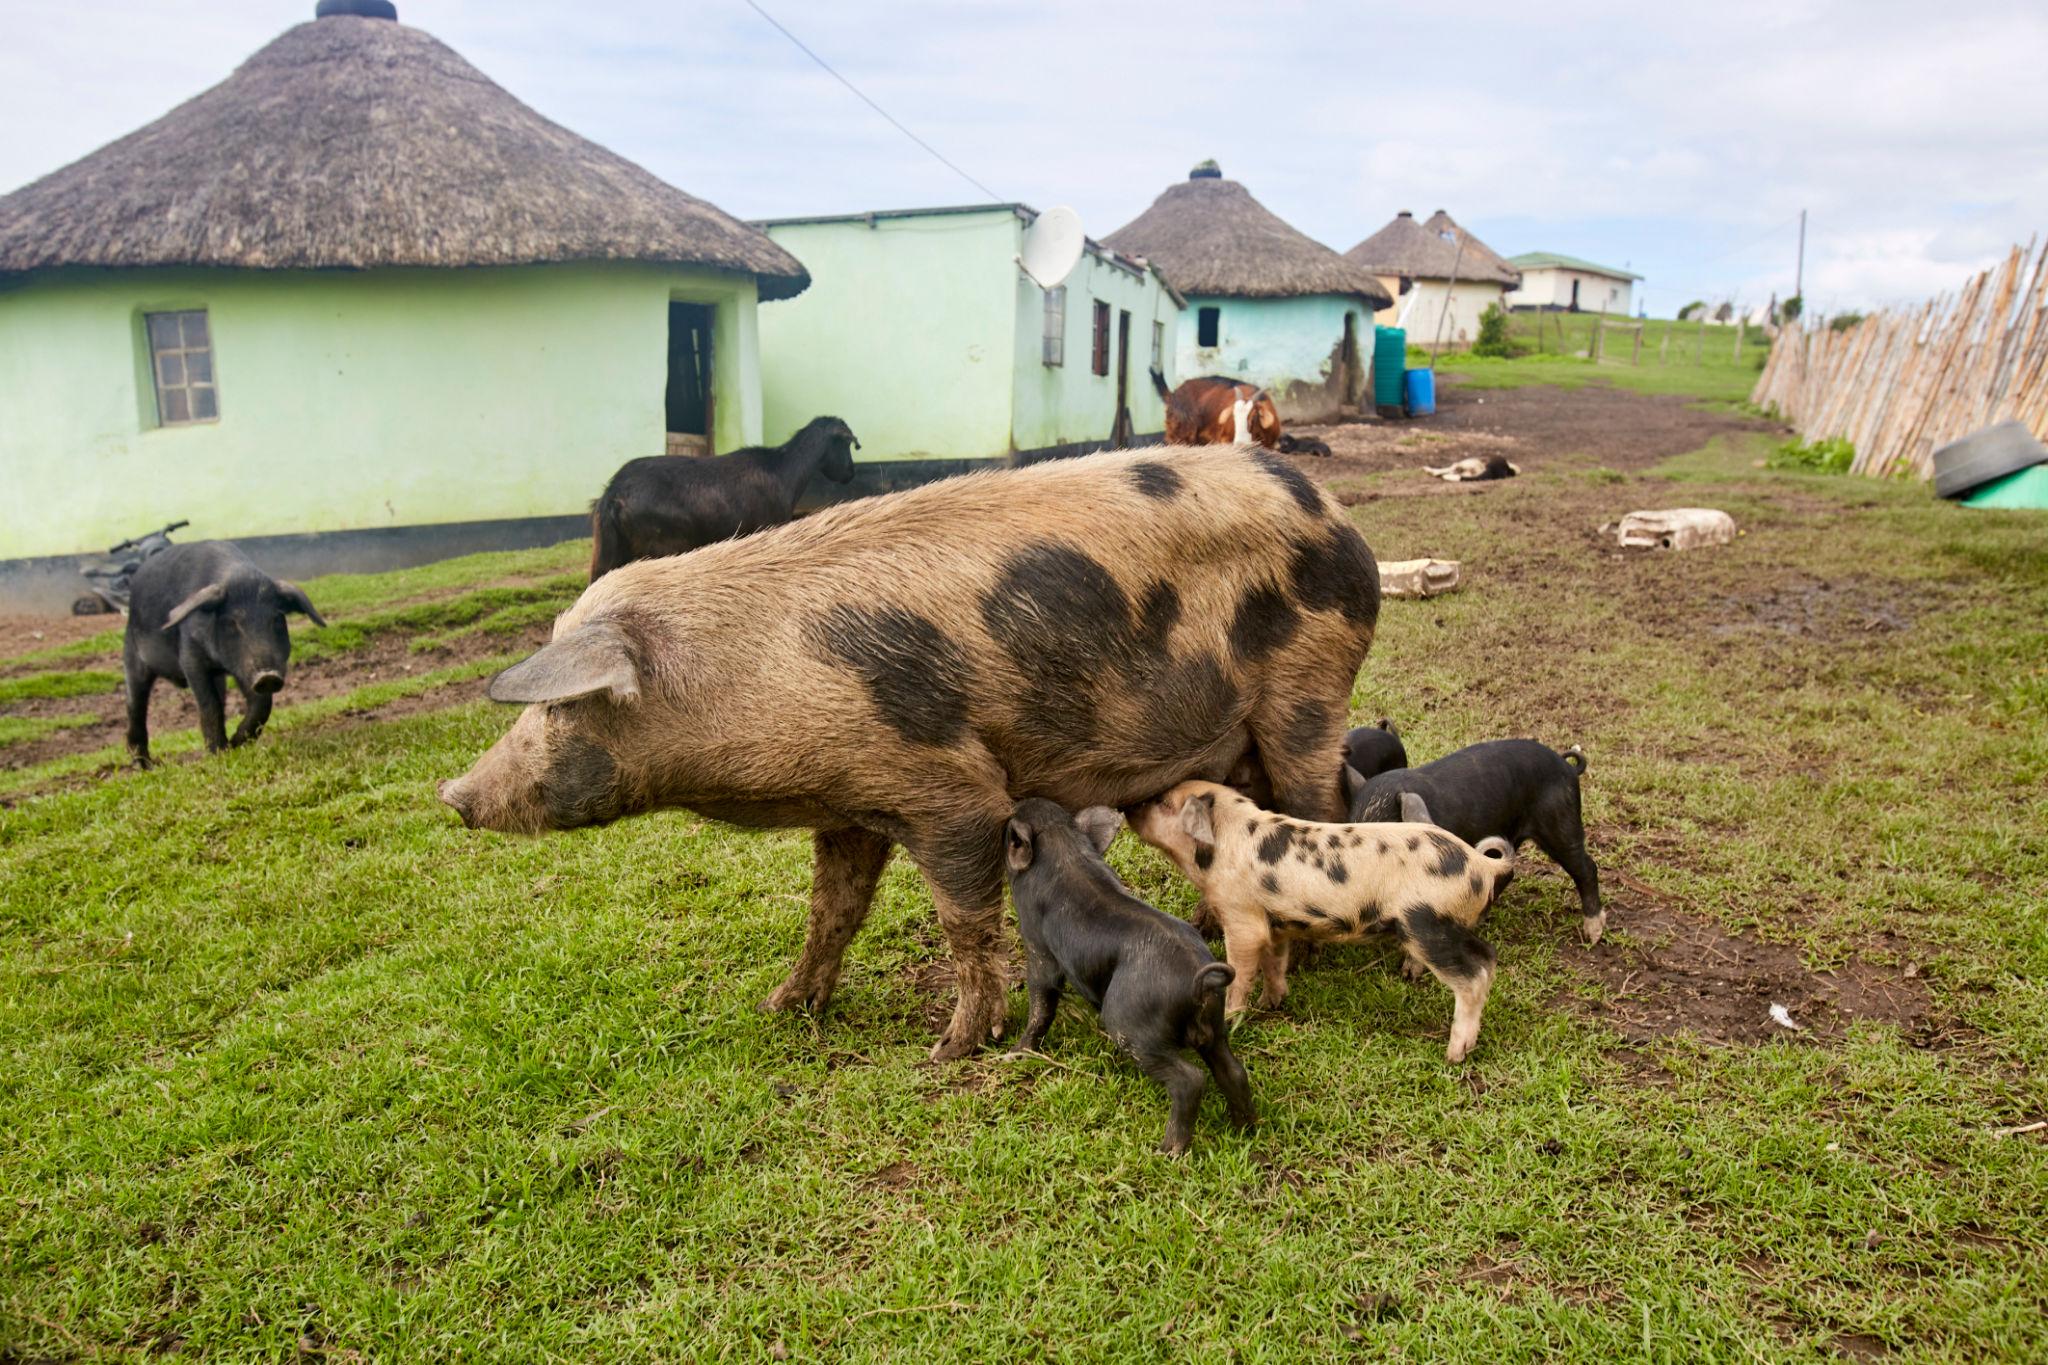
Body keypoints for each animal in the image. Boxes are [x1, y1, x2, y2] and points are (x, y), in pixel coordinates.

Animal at [122, 540, 327, 768]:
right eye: (232, 623)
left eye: (277, 619)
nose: (268, 676)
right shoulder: (190, 656)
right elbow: (208, 704)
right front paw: (219, 754)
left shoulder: (243, 668)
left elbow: (261, 703)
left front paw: (235, 744)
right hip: (131, 656)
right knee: (135, 707)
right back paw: (145, 765)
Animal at [439, 444, 1380, 1061]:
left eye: (557, 707)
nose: (452, 794)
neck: (754, 684)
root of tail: (1334, 511)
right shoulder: (851, 801)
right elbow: (833, 909)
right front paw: (784, 1007)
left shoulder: (949, 789)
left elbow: (964, 917)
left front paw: (955, 1046)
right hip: (1242, 730)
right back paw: (1208, 927)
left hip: (1308, 684)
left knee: (1317, 803)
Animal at [1002, 800, 1254, 1154]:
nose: (1017, 803)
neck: (1062, 844)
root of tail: (1200, 982)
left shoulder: (1038, 945)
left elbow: (1041, 1000)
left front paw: (1014, 1054)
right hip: (1216, 1026)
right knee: (1233, 1071)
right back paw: (1245, 1129)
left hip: (1132, 1026)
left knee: (1190, 1080)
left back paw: (1165, 1152)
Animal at [1127, 780, 1514, 1063]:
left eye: (1162, 801)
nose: (1128, 806)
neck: (1222, 846)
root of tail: (1484, 866)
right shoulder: (1276, 923)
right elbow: (1275, 963)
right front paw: (1272, 1002)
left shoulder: (1242, 919)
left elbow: (1241, 969)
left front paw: (1229, 1020)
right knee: (1488, 956)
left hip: (1426, 923)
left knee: (1474, 973)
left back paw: (1454, 1054)